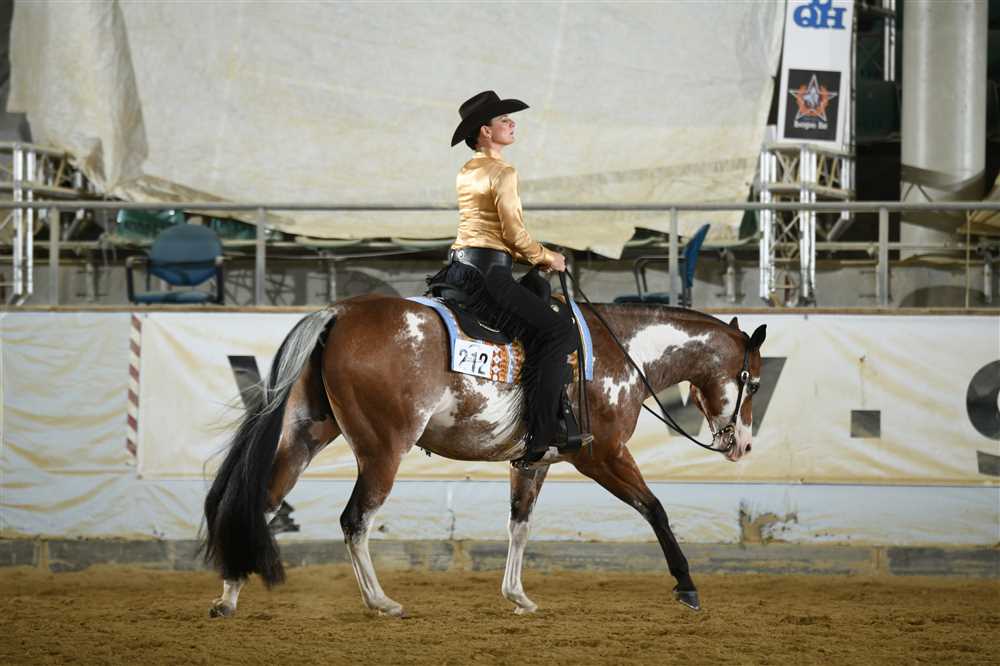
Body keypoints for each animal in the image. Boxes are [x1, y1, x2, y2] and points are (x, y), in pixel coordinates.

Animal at [202, 293, 766, 618]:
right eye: (754, 382)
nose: (743, 445)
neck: (619, 353)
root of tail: (340, 313)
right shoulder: (604, 455)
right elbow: (655, 510)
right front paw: (687, 586)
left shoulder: (534, 461)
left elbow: (519, 526)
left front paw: (517, 596)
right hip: (383, 451)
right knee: (354, 520)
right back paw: (380, 601)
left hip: (306, 434)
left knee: (261, 501)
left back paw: (229, 595)